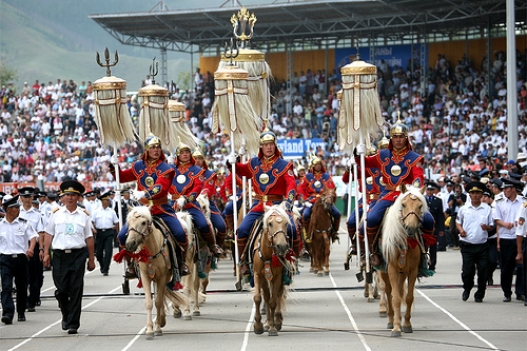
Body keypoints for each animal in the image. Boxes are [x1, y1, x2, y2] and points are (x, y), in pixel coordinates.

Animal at [124, 208, 189, 340]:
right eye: (128, 222)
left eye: (143, 222)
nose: (130, 244)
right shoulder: (145, 276)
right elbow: (149, 303)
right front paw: (149, 329)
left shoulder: (163, 276)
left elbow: (158, 302)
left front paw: (158, 327)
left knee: (162, 295)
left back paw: (162, 320)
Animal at [253, 205, 294, 336]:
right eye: (270, 223)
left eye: (286, 223)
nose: (282, 246)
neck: (267, 254)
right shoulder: (257, 275)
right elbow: (258, 298)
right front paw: (258, 325)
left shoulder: (277, 277)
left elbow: (273, 301)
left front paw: (272, 327)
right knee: (266, 296)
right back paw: (266, 322)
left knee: (278, 295)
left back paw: (276, 321)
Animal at [384, 187, 428, 338]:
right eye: (403, 205)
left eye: (420, 206)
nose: (411, 228)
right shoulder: (391, 269)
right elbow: (395, 298)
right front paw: (396, 328)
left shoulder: (412, 270)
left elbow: (409, 297)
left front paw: (407, 325)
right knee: (388, 292)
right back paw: (391, 320)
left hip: (402, 272)